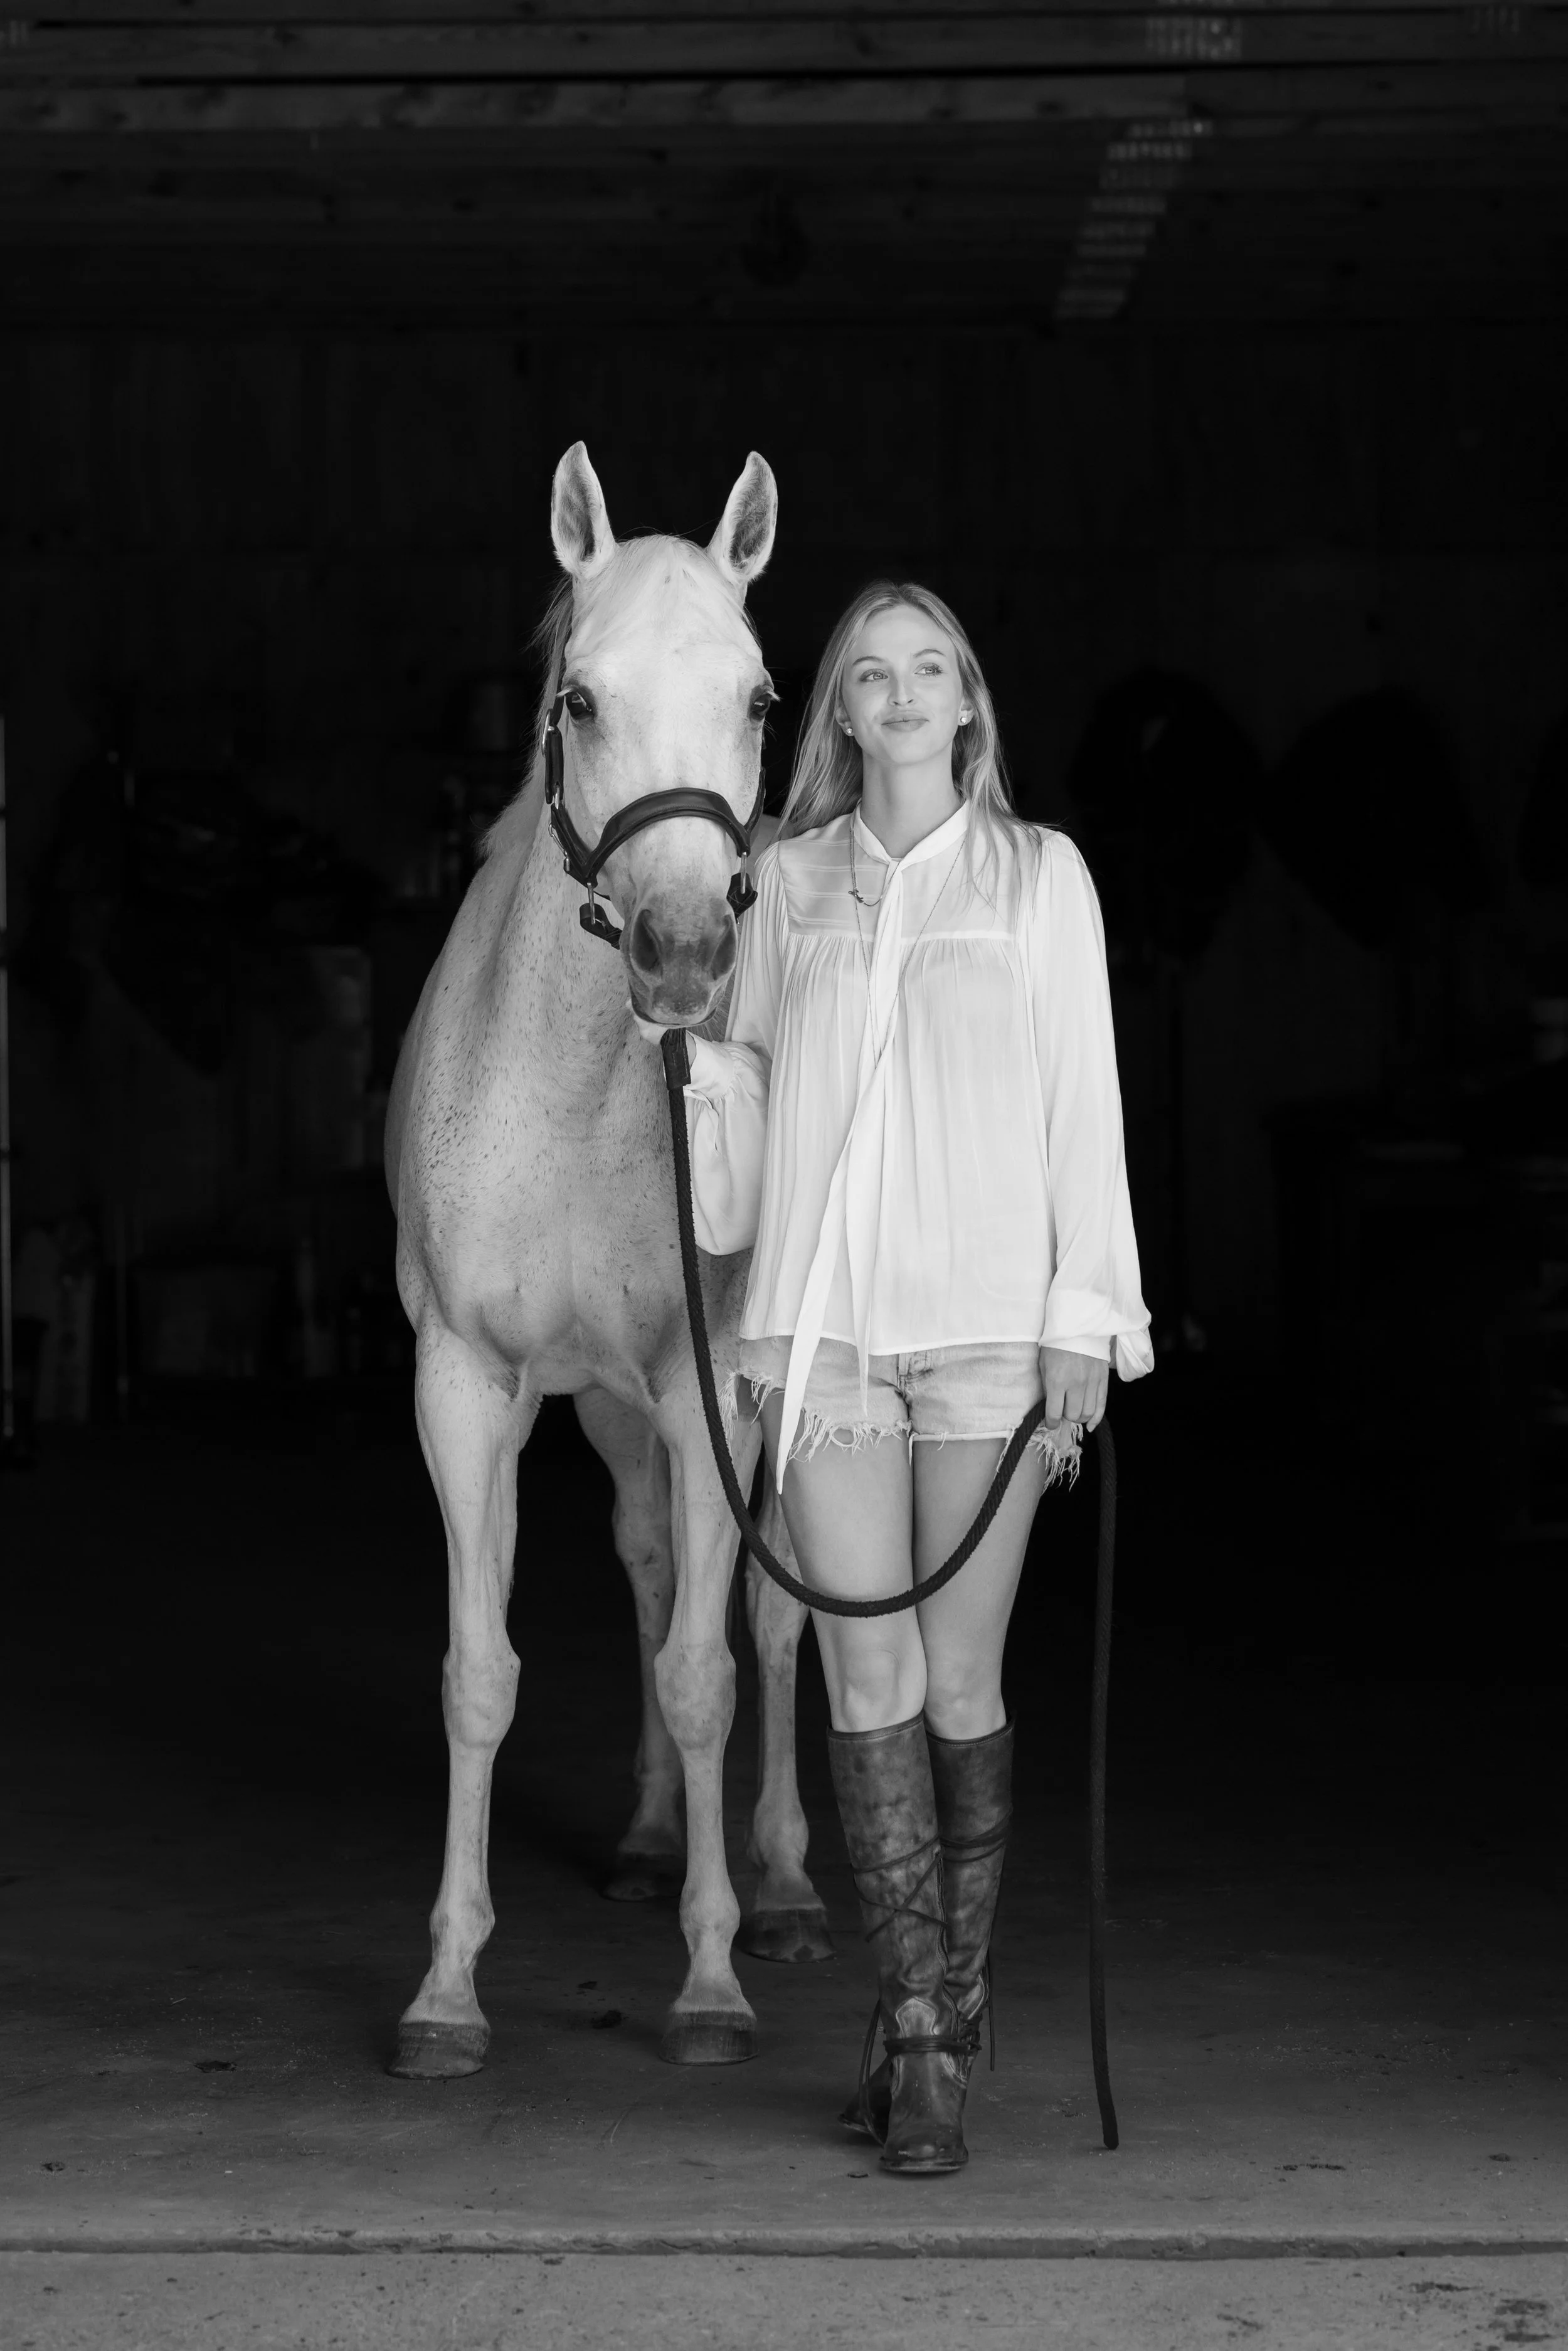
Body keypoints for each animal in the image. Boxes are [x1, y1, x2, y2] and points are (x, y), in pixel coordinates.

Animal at [383, 443, 832, 2080]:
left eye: (760, 698)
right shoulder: (468, 1386)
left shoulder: (706, 1398)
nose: (682, 952)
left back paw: (782, 1887)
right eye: (580, 699)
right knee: (649, 1567)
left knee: (768, 1617)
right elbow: (481, 1675)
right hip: (608, 1410)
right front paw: (446, 1989)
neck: (582, 1085)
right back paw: (647, 1839)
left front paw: (710, 1978)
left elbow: (711, 1668)